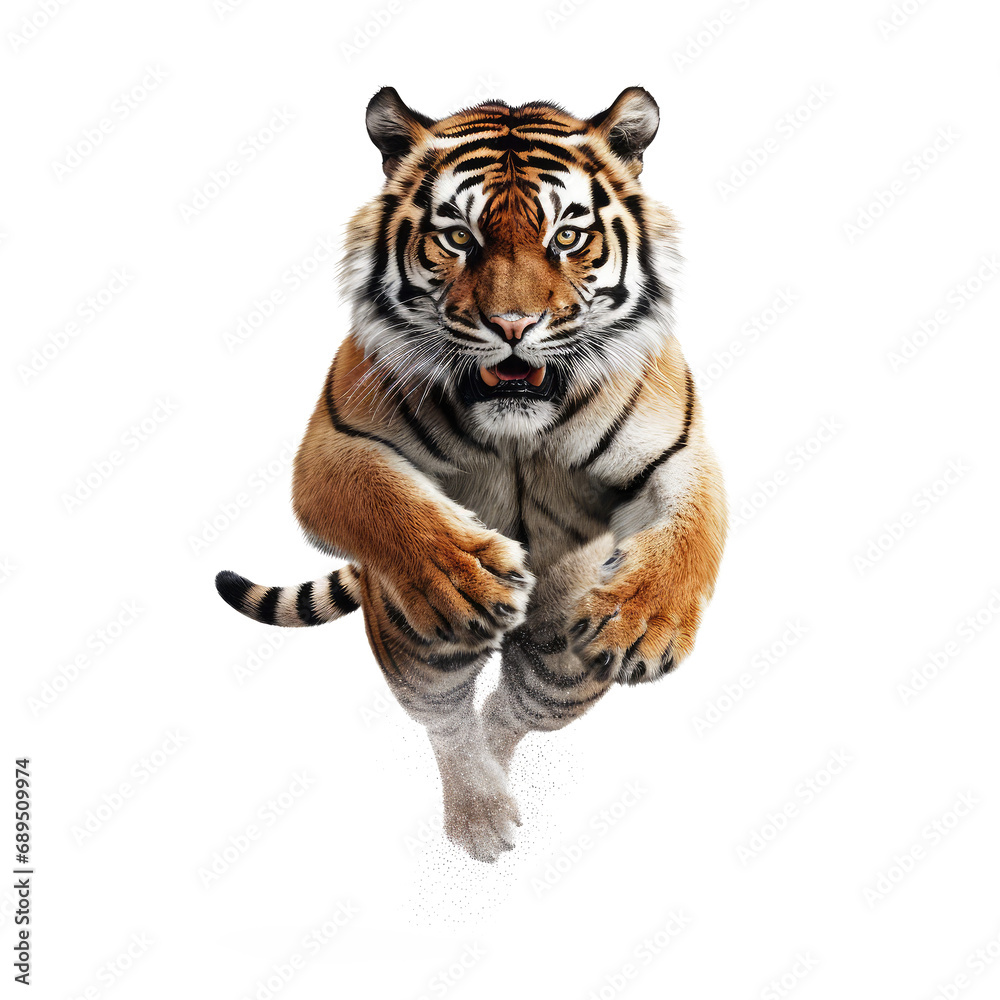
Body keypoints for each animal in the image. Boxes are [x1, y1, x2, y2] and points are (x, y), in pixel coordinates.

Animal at [216, 86, 727, 863]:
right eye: (458, 236)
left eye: (567, 237)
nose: (513, 324)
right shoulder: (334, 446)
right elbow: (385, 500)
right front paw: (466, 576)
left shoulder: (679, 448)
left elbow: (696, 527)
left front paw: (643, 620)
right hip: (418, 645)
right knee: (448, 720)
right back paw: (481, 814)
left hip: (564, 670)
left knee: (509, 710)